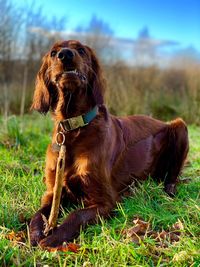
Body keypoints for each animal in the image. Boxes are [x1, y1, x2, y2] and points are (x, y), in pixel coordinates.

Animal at [28, 39, 188, 249]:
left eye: (81, 50)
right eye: (53, 53)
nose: (65, 55)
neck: (75, 129)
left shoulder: (105, 201)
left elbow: (76, 215)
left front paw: (53, 238)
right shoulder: (52, 192)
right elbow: (37, 215)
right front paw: (36, 234)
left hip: (180, 126)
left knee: (172, 177)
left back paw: (167, 189)